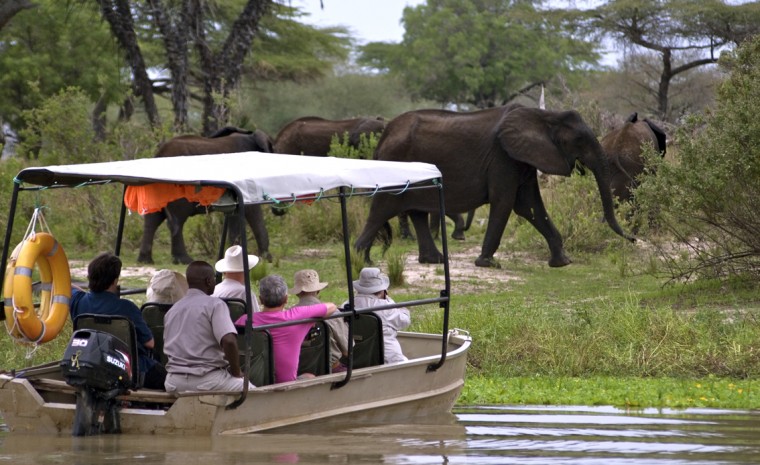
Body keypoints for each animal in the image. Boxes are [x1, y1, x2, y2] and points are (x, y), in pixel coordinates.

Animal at [137, 127, 276, 264]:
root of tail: (159, 154)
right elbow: (252, 211)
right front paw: (266, 260)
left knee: (153, 218)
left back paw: (145, 260)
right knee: (177, 220)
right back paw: (184, 260)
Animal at [356, 104, 636, 266]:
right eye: (579, 140)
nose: (634, 239)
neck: (544, 115)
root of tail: (383, 137)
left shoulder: (521, 159)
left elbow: (528, 205)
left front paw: (562, 262)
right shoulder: (504, 156)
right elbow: (506, 202)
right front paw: (487, 263)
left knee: (416, 212)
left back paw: (433, 261)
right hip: (394, 164)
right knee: (383, 208)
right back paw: (362, 261)